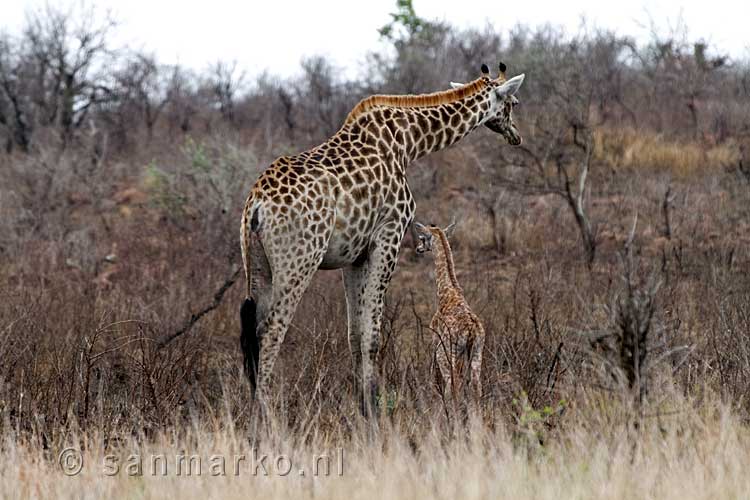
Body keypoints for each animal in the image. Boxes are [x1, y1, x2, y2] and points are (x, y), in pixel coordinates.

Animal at [418, 222, 488, 406]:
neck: (447, 290)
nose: (418, 248)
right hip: (477, 352)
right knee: (475, 386)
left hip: (448, 352)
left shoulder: (434, 340)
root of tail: (471, 331)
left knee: (452, 384)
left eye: (422, 238)